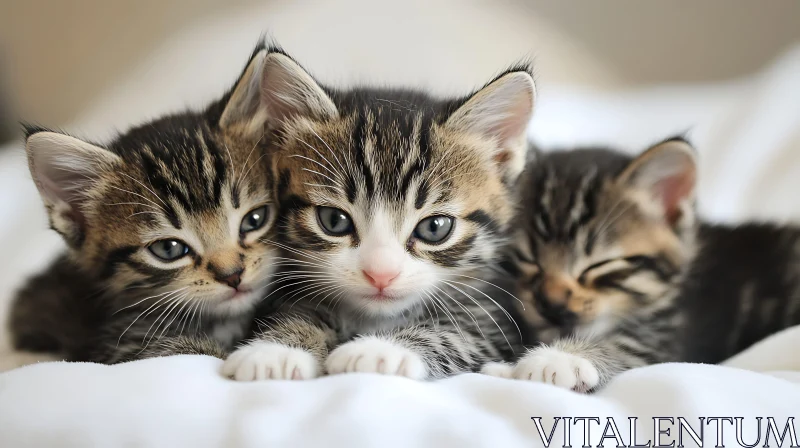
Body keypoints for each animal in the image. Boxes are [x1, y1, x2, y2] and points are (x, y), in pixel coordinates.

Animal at [219, 50, 536, 382]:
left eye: (435, 228)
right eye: (334, 221)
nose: (381, 274)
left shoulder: (493, 317)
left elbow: (460, 334)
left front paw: (379, 350)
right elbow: (298, 312)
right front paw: (276, 349)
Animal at [484, 137, 800, 392]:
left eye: (598, 265)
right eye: (526, 259)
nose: (552, 305)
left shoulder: (678, 336)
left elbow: (630, 346)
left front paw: (558, 358)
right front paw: (508, 370)